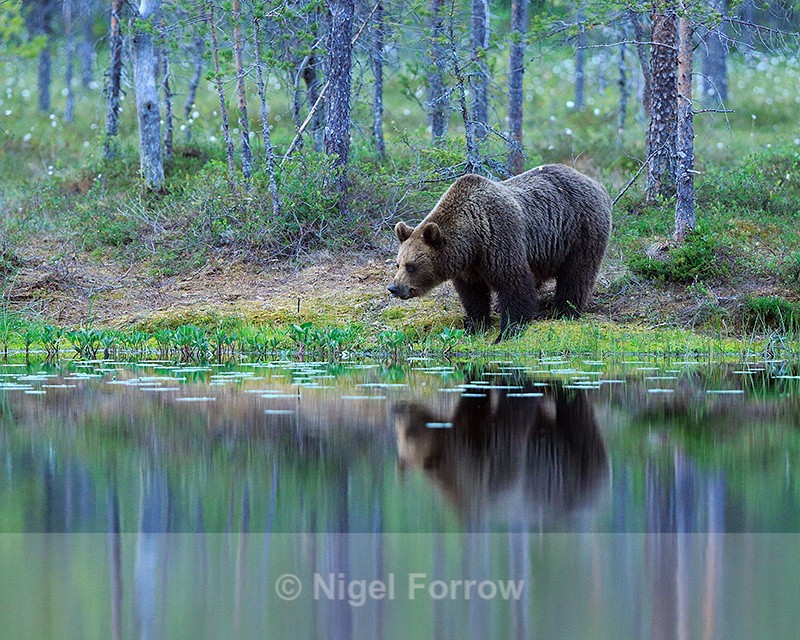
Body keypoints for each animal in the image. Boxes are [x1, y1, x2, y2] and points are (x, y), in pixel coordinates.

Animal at [388, 164, 612, 338]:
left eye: (411, 266)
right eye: (398, 264)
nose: (394, 288)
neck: (473, 238)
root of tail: (598, 185)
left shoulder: (500, 237)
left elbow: (513, 282)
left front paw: (508, 328)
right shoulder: (470, 266)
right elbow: (473, 294)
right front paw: (476, 324)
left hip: (581, 230)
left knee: (577, 273)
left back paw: (566, 310)